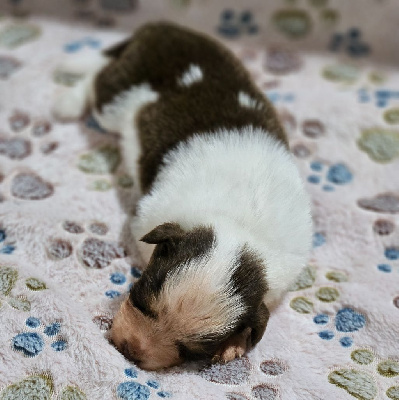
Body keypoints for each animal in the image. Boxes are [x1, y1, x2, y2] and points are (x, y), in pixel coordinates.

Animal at [54, 21, 312, 370]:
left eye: (189, 350)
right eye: (141, 300)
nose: (129, 351)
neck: (240, 224)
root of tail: (161, 27)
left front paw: (233, 346)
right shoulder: (146, 219)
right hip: (118, 94)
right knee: (98, 81)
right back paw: (67, 102)